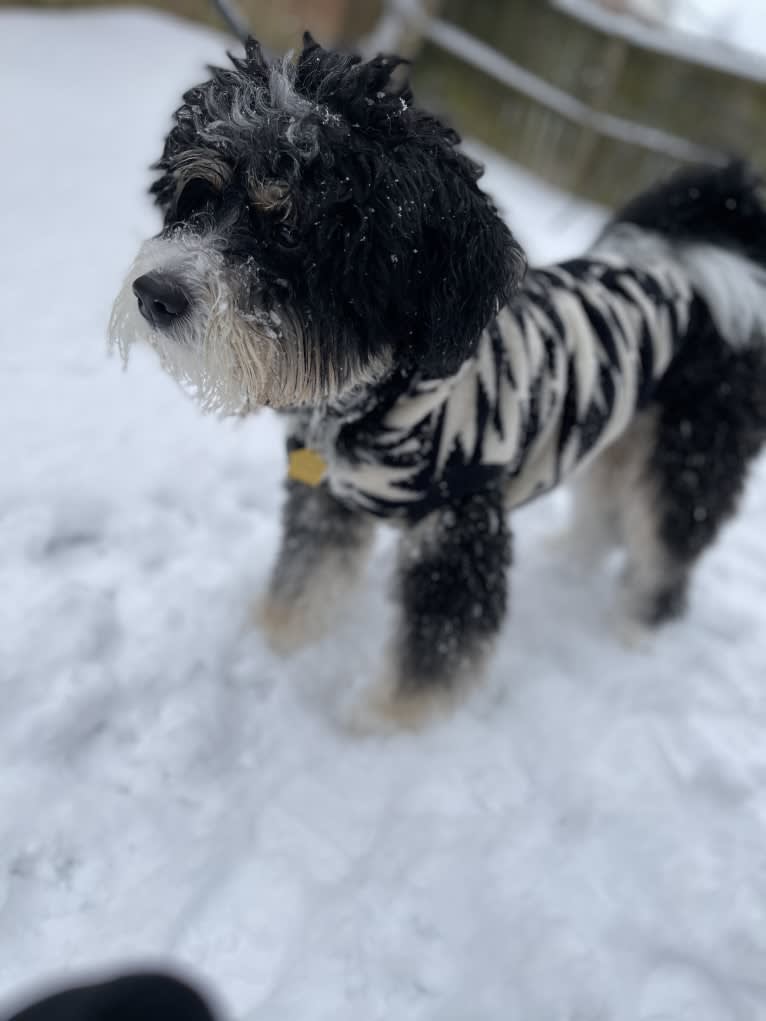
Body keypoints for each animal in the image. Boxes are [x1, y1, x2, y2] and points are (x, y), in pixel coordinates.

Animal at [110, 35, 766, 731]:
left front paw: (380, 724)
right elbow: (306, 575)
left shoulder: (460, 529)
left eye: (289, 229)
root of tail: (701, 266)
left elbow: (437, 649)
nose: (154, 295)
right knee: (604, 516)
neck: (381, 399)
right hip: (620, 432)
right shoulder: (329, 499)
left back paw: (636, 629)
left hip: (688, 454)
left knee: (666, 546)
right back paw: (571, 562)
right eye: (198, 197)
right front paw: (275, 642)